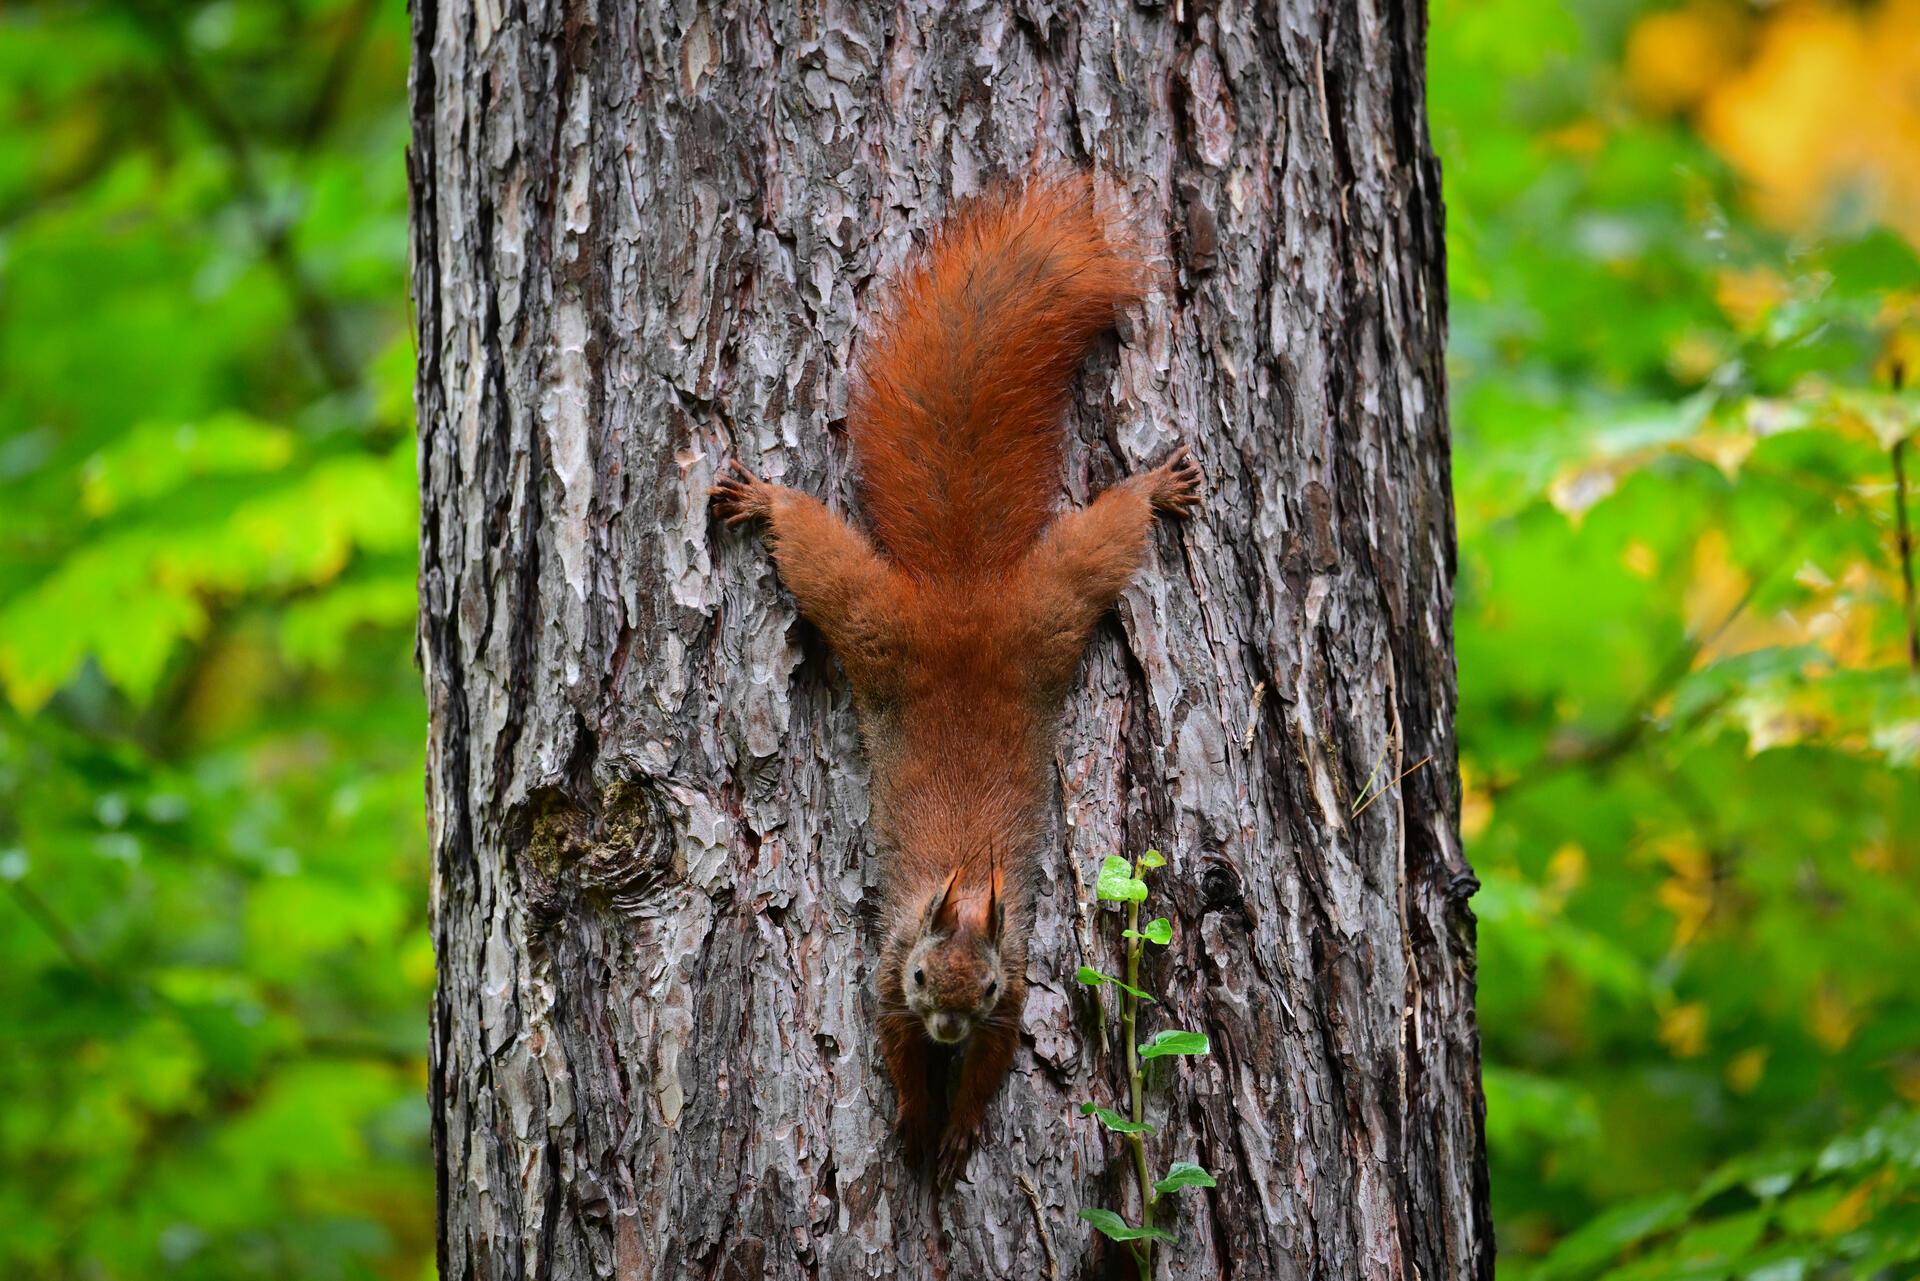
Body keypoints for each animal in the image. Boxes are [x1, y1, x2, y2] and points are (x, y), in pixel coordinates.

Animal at [718, 172, 1198, 1183]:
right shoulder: (887, 968)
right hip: (889, 616)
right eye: (920, 976)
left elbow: (991, 1066)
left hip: (1043, 610)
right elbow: (893, 1045)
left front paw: (958, 1127)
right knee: (818, 550)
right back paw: (767, 500)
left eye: (976, 990)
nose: (946, 1023)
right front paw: (913, 1111)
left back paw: (1151, 487)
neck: (968, 889)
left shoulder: (1016, 989)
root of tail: (963, 595)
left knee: (1104, 535)